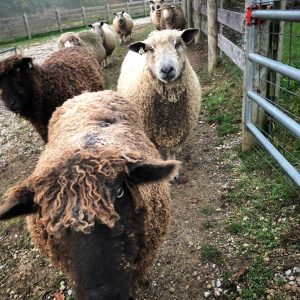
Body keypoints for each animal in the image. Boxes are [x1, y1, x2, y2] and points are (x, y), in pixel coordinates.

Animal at [117, 28, 202, 178]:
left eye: (178, 44)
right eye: (150, 49)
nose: (167, 69)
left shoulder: (177, 129)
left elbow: (172, 151)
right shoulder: (148, 133)